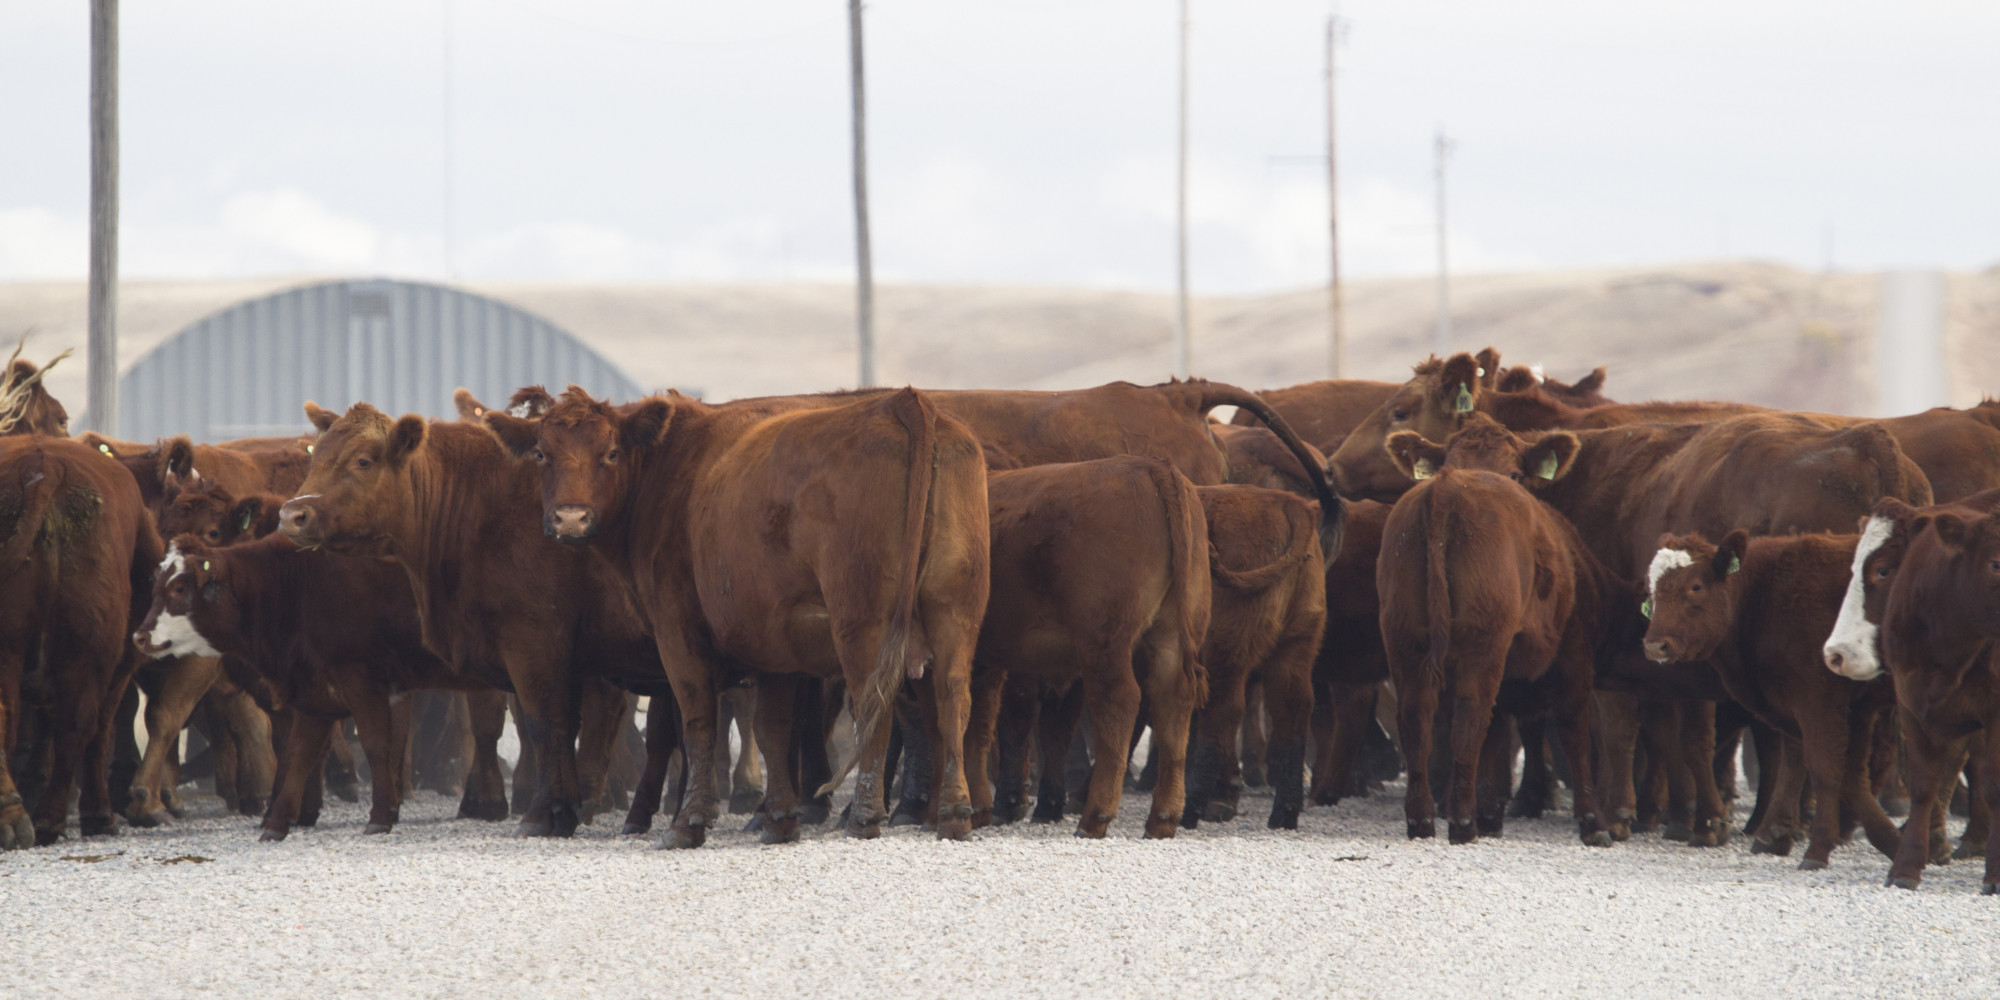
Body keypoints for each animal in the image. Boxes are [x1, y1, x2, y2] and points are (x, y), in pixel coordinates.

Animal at [0, 435, 163, 845]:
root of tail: (44, 467)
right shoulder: (119, 663)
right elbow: (103, 726)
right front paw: (97, 813)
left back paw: (25, 817)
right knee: (78, 724)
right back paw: (50, 818)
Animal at [479, 386, 990, 845]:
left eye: (610, 452)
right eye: (542, 454)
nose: (570, 519)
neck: (673, 471)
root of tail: (903, 403)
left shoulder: (677, 632)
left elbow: (697, 722)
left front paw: (690, 822)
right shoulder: (777, 644)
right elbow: (773, 729)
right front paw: (779, 819)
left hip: (862, 623)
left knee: (874, 705)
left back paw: (865, 815)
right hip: (955, 614)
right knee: (953, 700)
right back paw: (954, 813)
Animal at [961, 457, 1210, 839]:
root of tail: (1150, 466)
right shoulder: (986, 660)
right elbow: (979, 724)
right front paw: (979, 809)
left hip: (1103, 642)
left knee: (1118, 701)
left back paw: (1095, 817)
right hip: (1170, 636)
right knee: (1173, 702)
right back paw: (1162, 819)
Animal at [1376, 416, 1614, 846]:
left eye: (1517, 471)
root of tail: (1446, 486)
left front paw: (1490, 813)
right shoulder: (1574, 651)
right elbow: (1573, 731)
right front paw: (1593, 821)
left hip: (1404, 636)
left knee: (1417, 717)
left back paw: (1423, 819)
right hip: (1481, 641)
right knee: (1471, 717)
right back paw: (1461, 823)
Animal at [1641, 529, 1901, 869]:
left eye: (1695, 586)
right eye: (1652, 589)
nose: (1654, 646)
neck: (1766, 596)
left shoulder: (1819, 702)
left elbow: (1825, 768)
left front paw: (1817, 848)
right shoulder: (1801, 703)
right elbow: (1805, 765)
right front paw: (1776, 833)